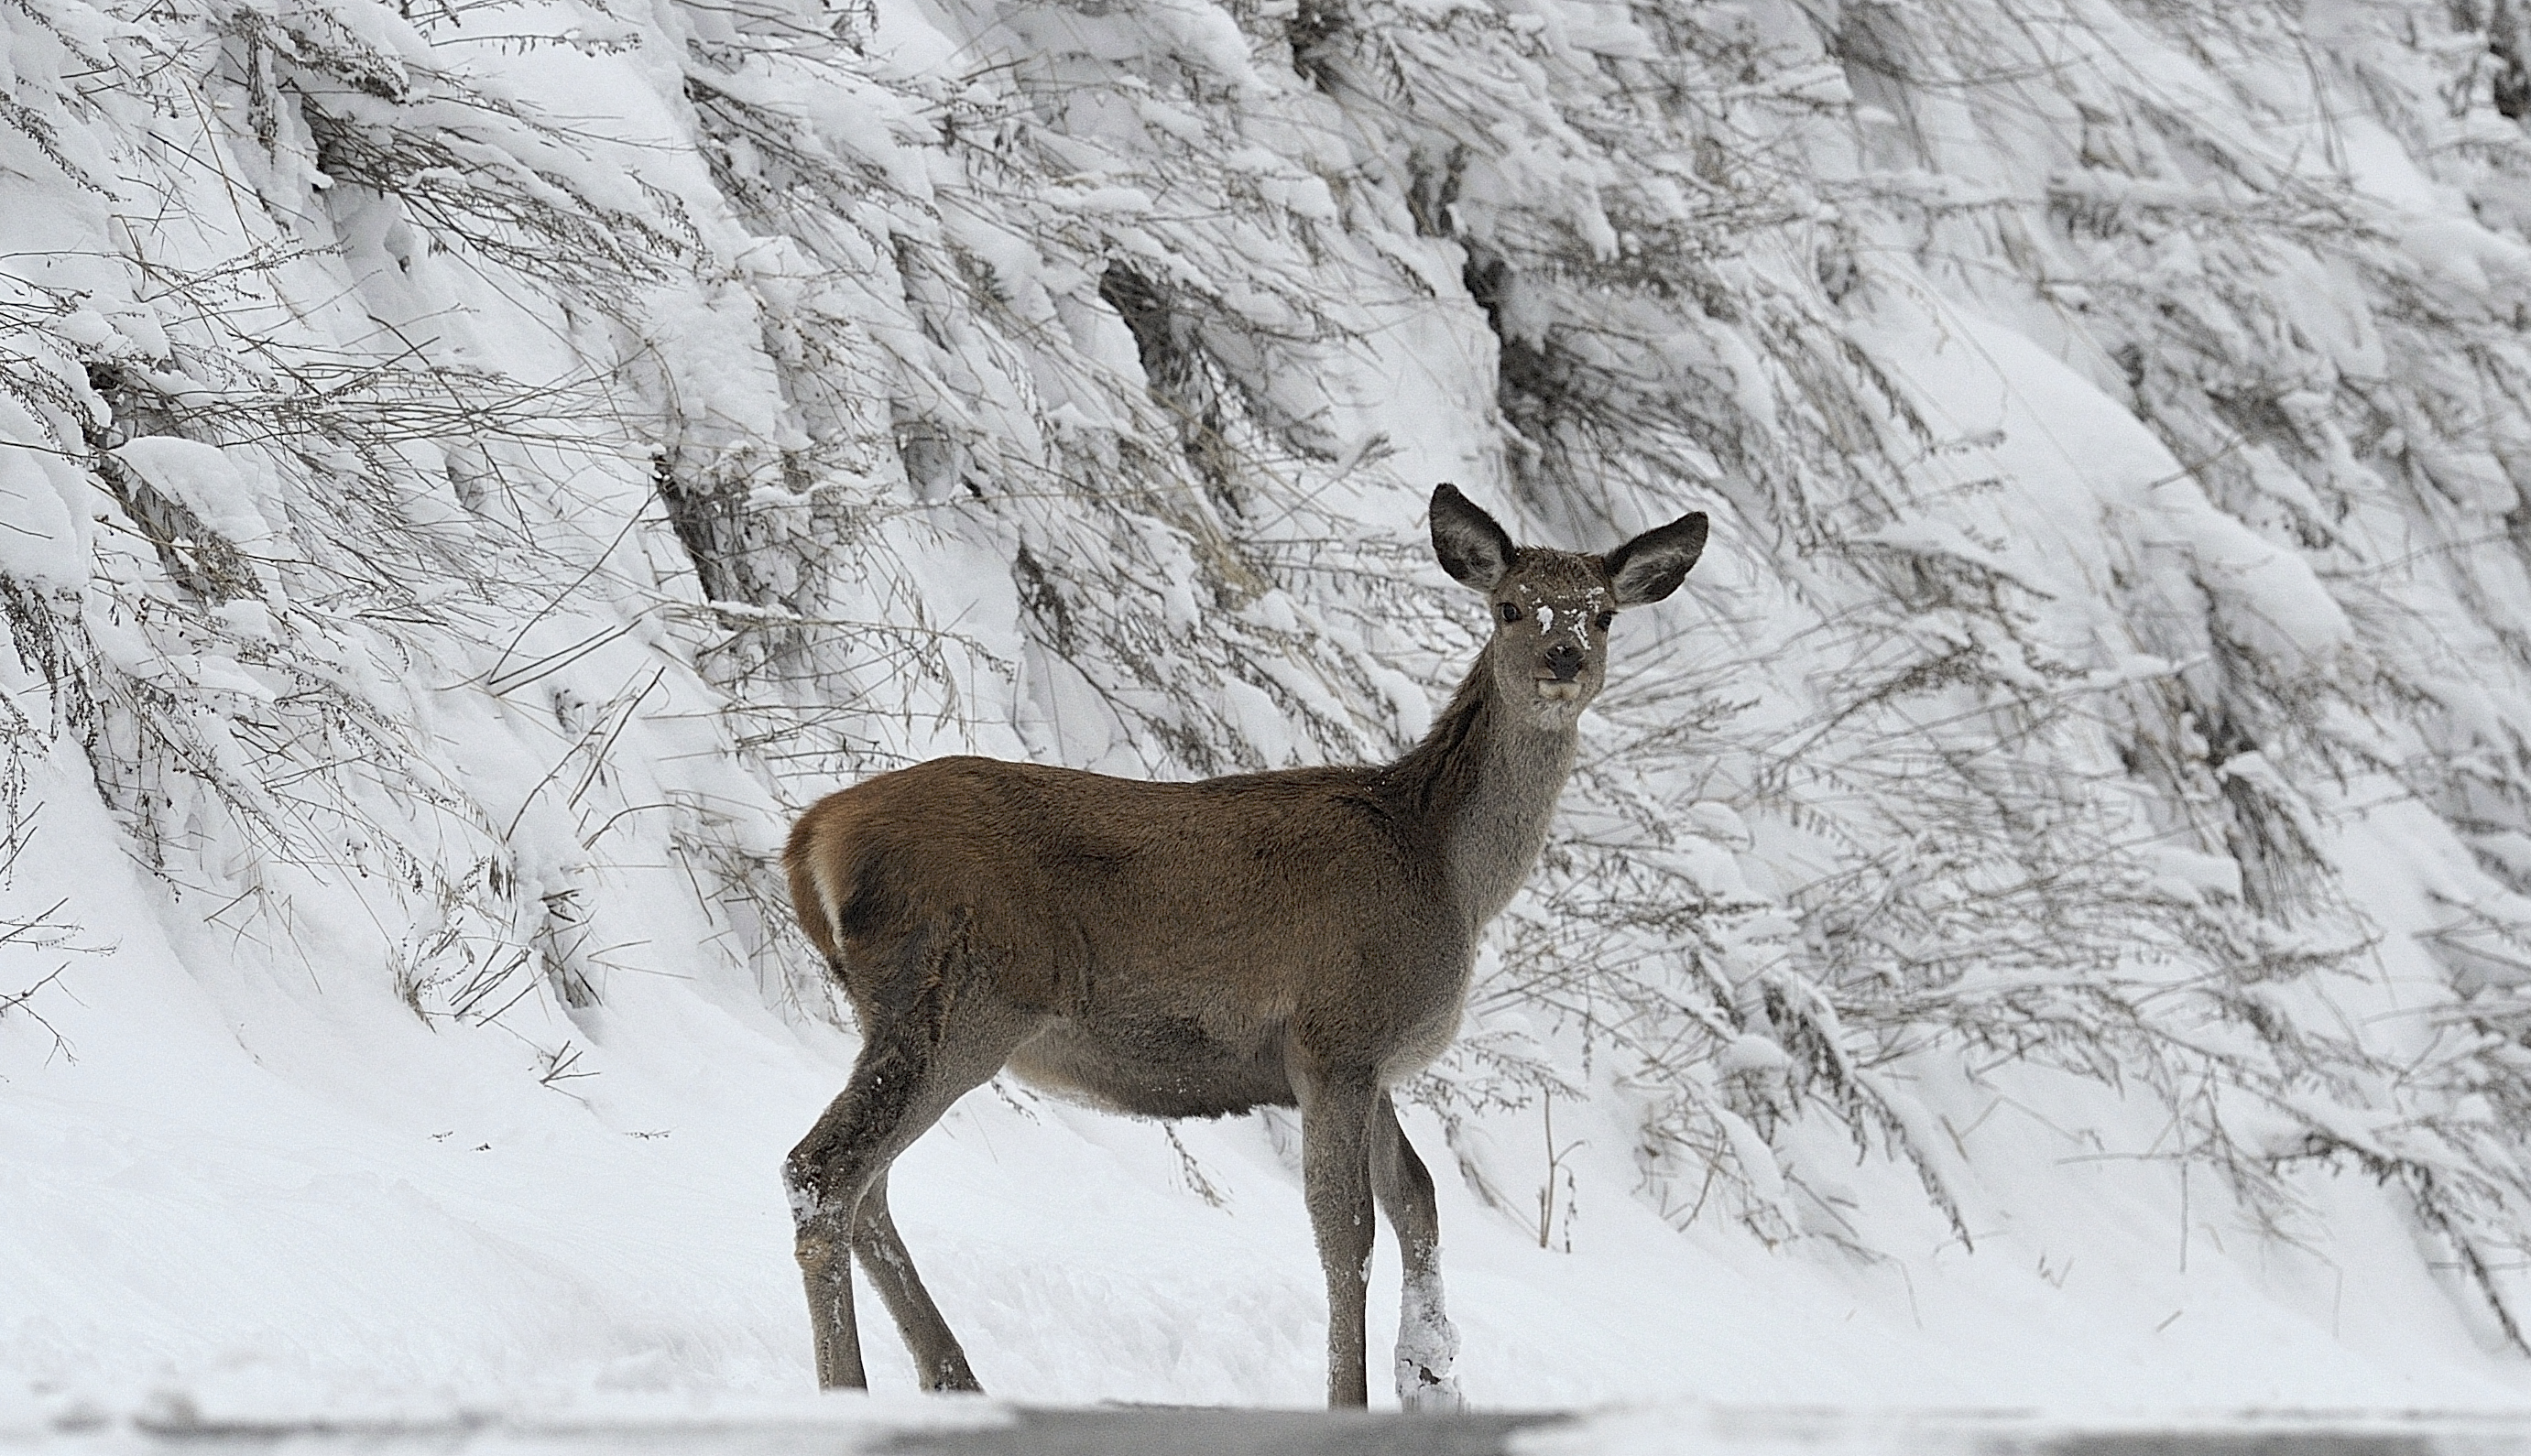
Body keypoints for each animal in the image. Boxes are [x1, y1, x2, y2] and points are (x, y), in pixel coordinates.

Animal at [779, 483, 1708, 1408]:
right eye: (1510, 606)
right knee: (824, 1169)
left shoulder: (1367, 1059)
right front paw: (1351, 1399)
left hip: (908, 1007)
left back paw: (953, 1381)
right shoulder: (1337, 1035)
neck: (1448, 873)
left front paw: (1432, 1378)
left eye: (1604, 614)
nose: (1563, 657)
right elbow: (1346, 1230)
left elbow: (1417, 1197)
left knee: (869, 1188)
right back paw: (848, 1390)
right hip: (961, 990)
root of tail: (812, 835)